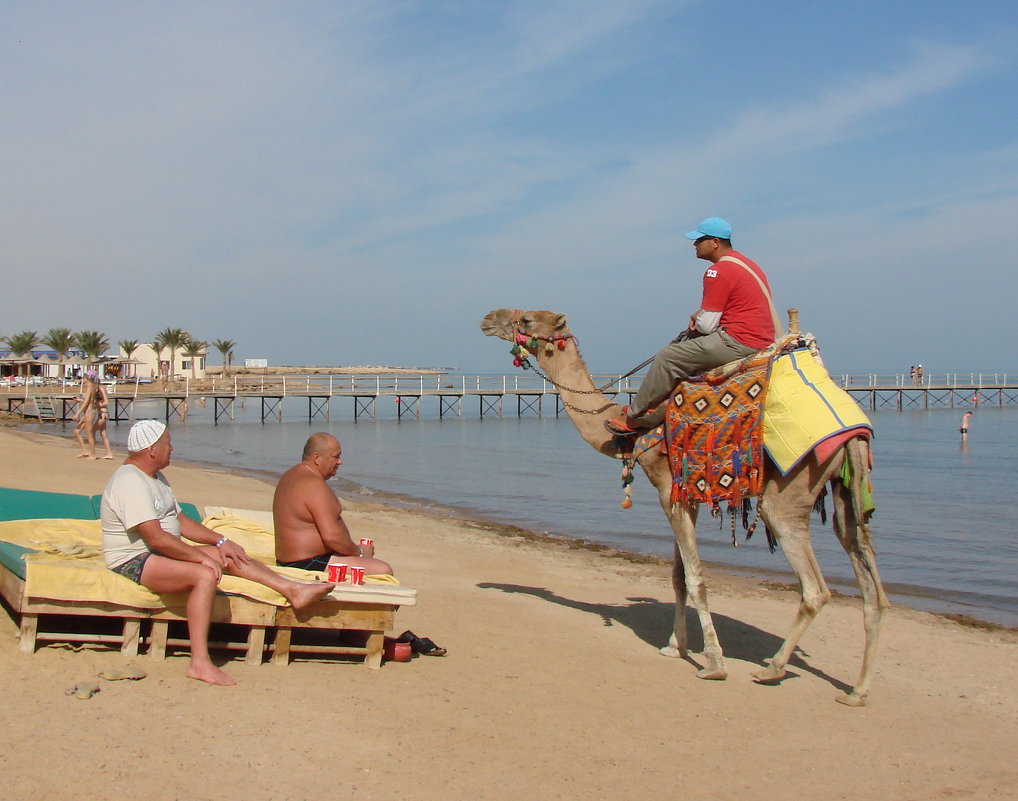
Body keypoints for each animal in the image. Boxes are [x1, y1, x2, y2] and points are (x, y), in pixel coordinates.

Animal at [480, 309, 887, 708]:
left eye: (527, 321)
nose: (488, 317)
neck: (628, 435)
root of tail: (853, 432)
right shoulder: (682, 495)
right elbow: (678, 577)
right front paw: (675, 646)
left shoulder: (667, 489)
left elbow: (695, 577)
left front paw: (714, 663)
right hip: (846, 490)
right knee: (869, 583)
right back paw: (857, 689)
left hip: (788, 492)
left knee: (815, 589)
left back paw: (773, 668)